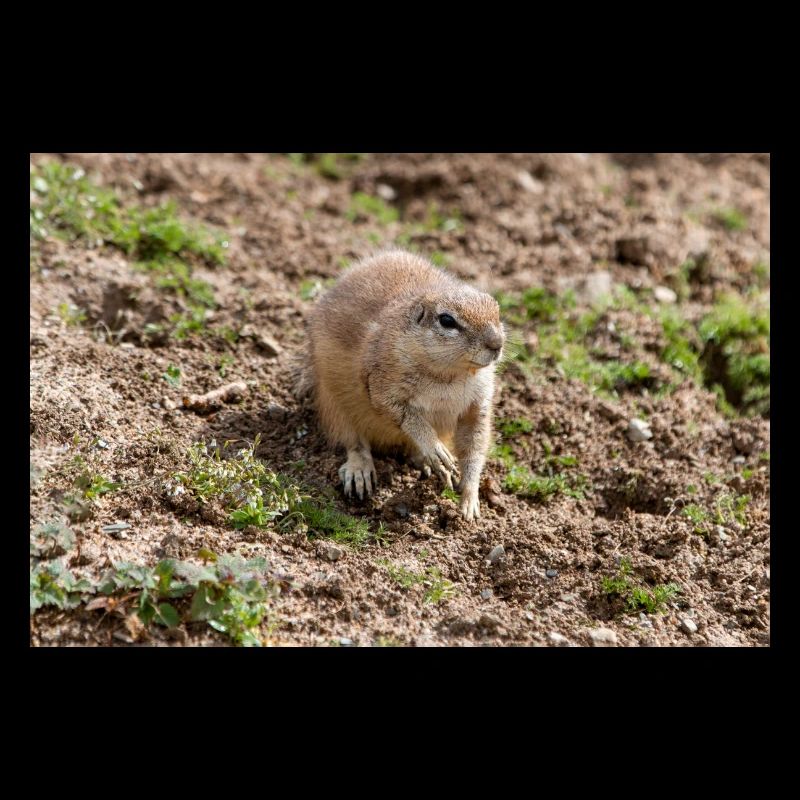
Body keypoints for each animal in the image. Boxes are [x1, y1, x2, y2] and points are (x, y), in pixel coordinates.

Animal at [296, 249, 505, 521]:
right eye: (447, 320)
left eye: (496, 308)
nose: (497, 343)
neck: (449, 376)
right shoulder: (382, 383)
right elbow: (405, 414)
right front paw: (435, 449)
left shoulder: (478, 403)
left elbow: (474, 445)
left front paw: (469, 500)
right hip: (333, 405)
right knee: (353, 442)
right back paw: (361, 471)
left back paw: (424, 462)